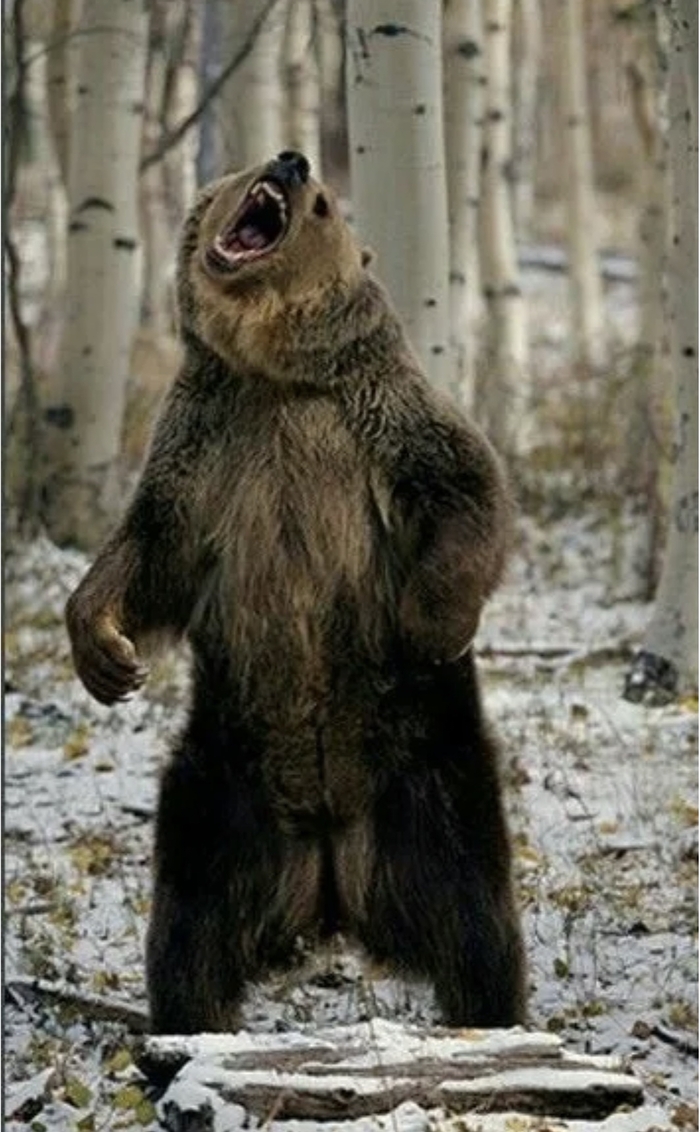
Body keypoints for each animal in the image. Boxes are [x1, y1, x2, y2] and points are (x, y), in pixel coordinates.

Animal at [66, 150, 526, 1035]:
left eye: (322, 205)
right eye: (245, 169)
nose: (291, 160)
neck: (274, 373)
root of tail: (330, 864)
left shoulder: (378, 415)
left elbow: (467, 486)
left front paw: (431, 620)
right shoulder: (204, 440)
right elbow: (148, 547)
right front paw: (104, 654)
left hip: (428, 780)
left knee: (477, 925)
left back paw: (496, 1021)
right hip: (220, 795)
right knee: (188, 934)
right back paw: (181, 1031)